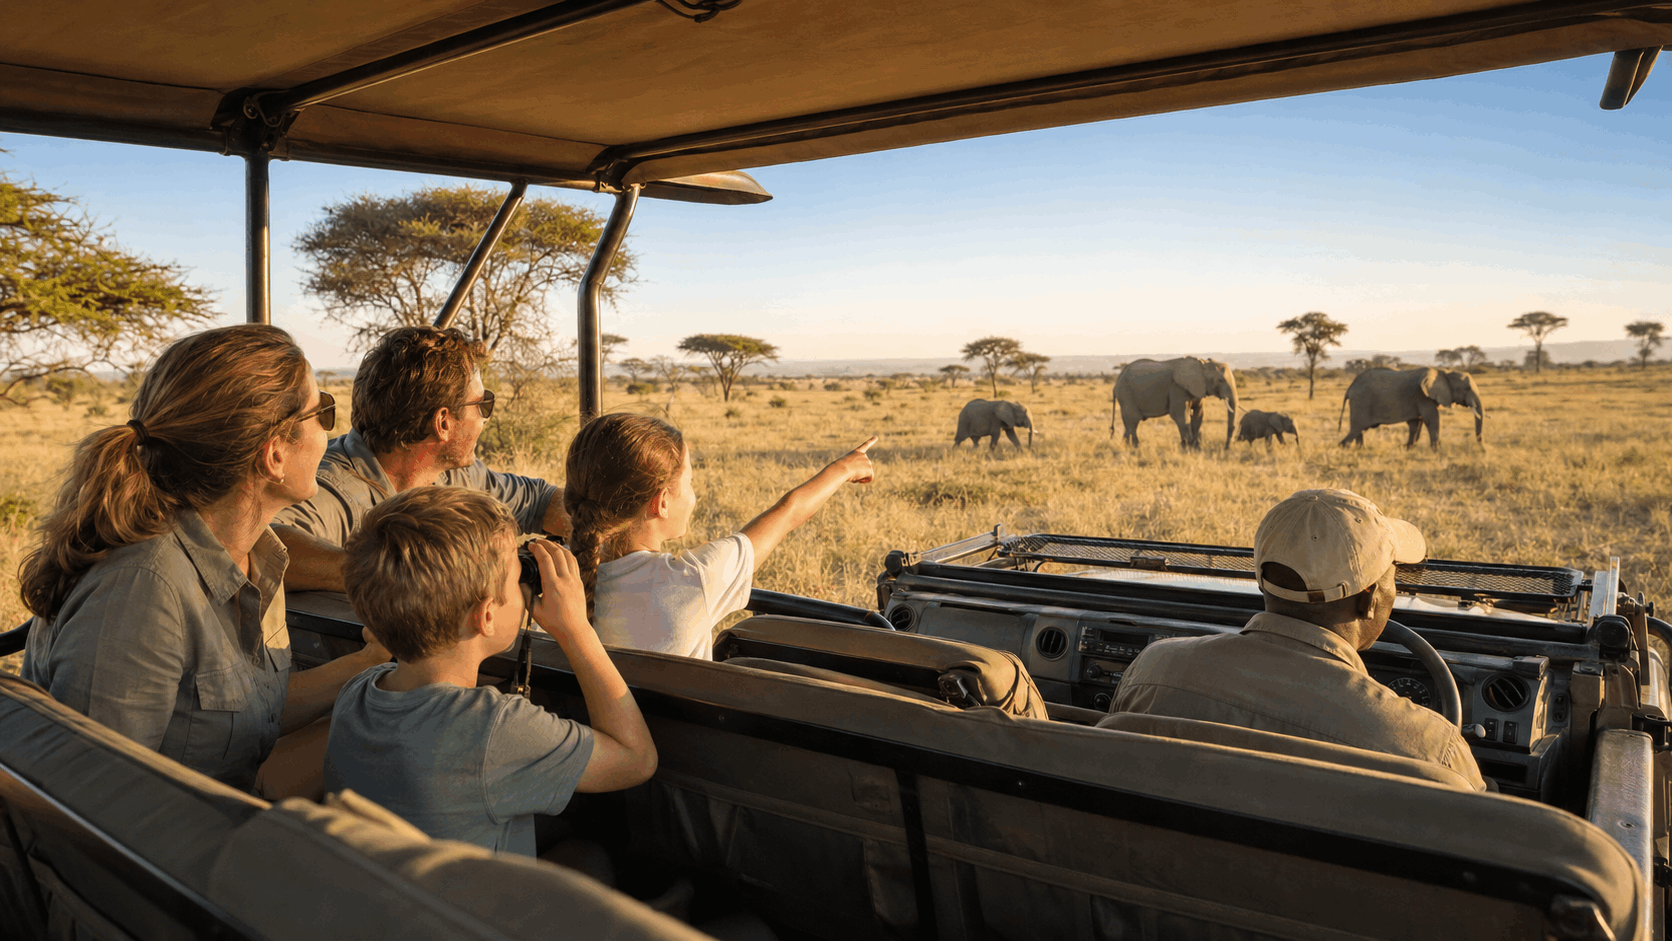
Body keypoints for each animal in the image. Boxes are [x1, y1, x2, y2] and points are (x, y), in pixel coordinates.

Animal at [1111, 357, 1239, 449]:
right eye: (1220, 380)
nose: (1227, 447)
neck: (1202, 364)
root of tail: (1118, 377)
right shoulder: (1177, 388)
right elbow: (1181, 415)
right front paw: (1187, 448)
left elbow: (1198, 415)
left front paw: (1196, 448)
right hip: (1125, 392)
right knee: (1133, 419)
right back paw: (1136, 447)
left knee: (1128, 421)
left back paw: (1124, 447)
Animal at [1337, 367, 1484, 449]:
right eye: (1466, 389)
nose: (1482, 448)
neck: (1445, 372)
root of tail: (1350, 387)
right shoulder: (1423, 396)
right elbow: (1432, 419)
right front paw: (1436, 450)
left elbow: (1416, 422)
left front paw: (1407, 447)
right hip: (1361, 402)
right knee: (1357, 428)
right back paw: (1342, 447)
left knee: (1359, 430)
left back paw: (1360, 449)